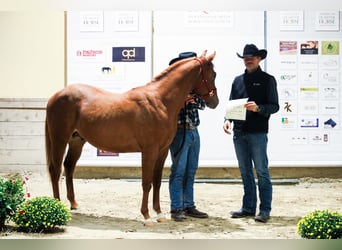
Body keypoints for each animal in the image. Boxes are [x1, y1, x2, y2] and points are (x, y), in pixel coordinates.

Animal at [45, 49, 219, 226]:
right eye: (213, 74)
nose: (215, 102)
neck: (160, 101)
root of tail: (56, 96)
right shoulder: (149, 151)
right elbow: (146, 183)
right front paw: (147, 216)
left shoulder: (162, 151)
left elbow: (157, 182)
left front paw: (159, 214)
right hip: (60, 139)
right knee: (56, 169)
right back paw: (58, 206)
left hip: (76, 141)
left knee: (68, 167)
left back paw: (73, 204)